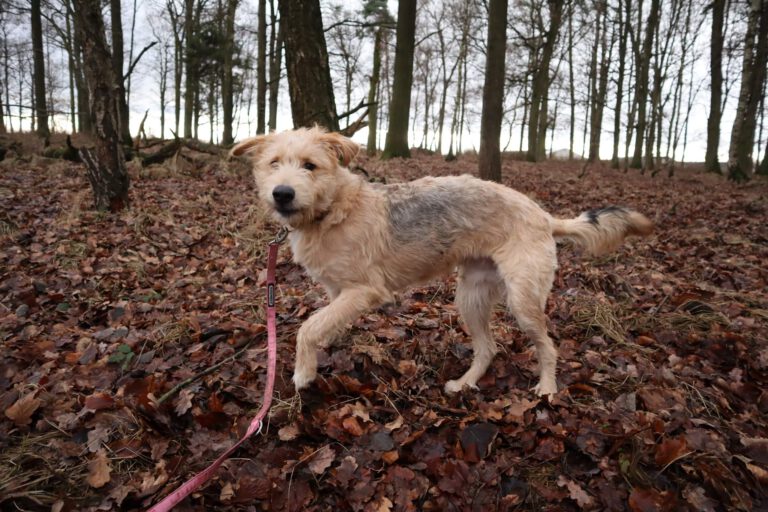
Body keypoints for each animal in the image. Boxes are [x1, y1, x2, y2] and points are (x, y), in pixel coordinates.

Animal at [231, 127, 652, 396]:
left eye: (310, 165)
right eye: (273, 163)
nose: (282, 193)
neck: (333, 210)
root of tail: (544, 216)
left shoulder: (365, 291)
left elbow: (307, 327)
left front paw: (303, 372)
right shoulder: (339, 293)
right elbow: (323, 324)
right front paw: (325, 356)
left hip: (523, 301)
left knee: (547, 346)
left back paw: (547, 389)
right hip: (471, 297)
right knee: (488, 348)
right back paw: (464, 384)